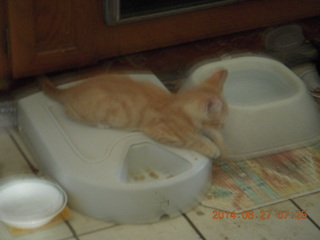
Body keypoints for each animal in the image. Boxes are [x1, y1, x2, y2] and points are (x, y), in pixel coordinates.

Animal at [41, 70, 228, 158]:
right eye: (220, 121)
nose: (224, 126)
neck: (176, 103)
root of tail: (71, 89)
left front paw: (220, 142)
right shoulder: (161, 131)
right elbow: (191, 140)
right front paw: (212, 147)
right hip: (85, 112)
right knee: (69, 112)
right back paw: (101, 123)